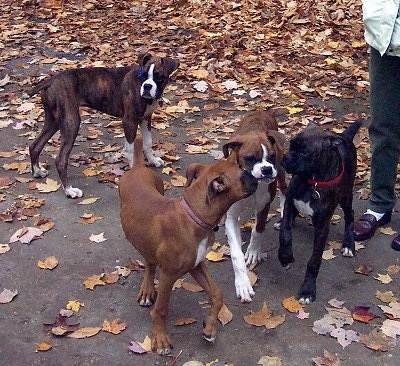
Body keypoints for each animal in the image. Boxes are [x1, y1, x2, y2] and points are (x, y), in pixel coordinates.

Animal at [28, 52, 178, 197]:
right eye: (143, 75)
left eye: (159, 77)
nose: (147, 86)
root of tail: (50, 81)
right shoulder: (129, 121)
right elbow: (130, 150)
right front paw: (135, 172)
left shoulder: (146, 119)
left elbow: (148, 143)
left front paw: (153, 160)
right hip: (71, 122)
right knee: (60, 159)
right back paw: (70, 191)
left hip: (53, 121)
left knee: (35, 145)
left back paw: (38, 171)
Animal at [119, 137, 258, 354]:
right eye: (243, 172)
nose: (264, 175)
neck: (195, 215)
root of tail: (138, 167)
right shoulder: (168, 274)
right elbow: (161, 309)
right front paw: (160, 339)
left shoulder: (197, 265)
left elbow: (217, 295)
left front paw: (209, 328)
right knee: (149, 263)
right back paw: (147, 291)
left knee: (150, 260)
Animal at [278, 120, 362, 304]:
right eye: (290, 144)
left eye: (304, 152)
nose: (284, 159)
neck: (312, 181)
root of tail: (344, 136)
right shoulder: (289, 205)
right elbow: (285, 234)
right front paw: (285, 256)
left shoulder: (323, 226)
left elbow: (314, 260)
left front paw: (307, 290)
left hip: (346, 195)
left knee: (350, 215)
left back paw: (348, 244)